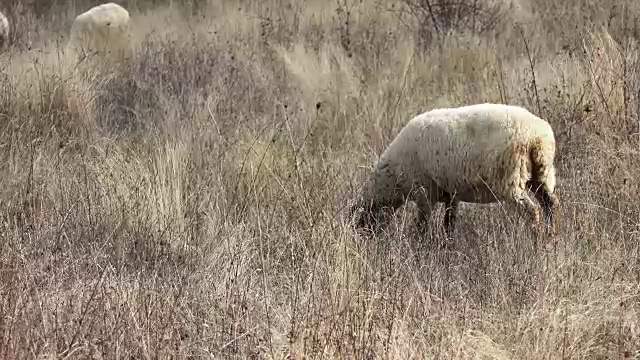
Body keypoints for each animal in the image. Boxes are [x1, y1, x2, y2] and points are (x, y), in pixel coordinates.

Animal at [350, 102, 560, 240]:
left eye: (362, 221)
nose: (366, 241)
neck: (393, 179)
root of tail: (537, 137)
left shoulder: (424, 192)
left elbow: (422, 224)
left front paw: (420, 245)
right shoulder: (451, 193)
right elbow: (449, 223)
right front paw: (448, 245)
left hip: (511, 179)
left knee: (533, 211)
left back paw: (537, 241)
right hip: (542, 174)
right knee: (551, 204)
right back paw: (551, 237)